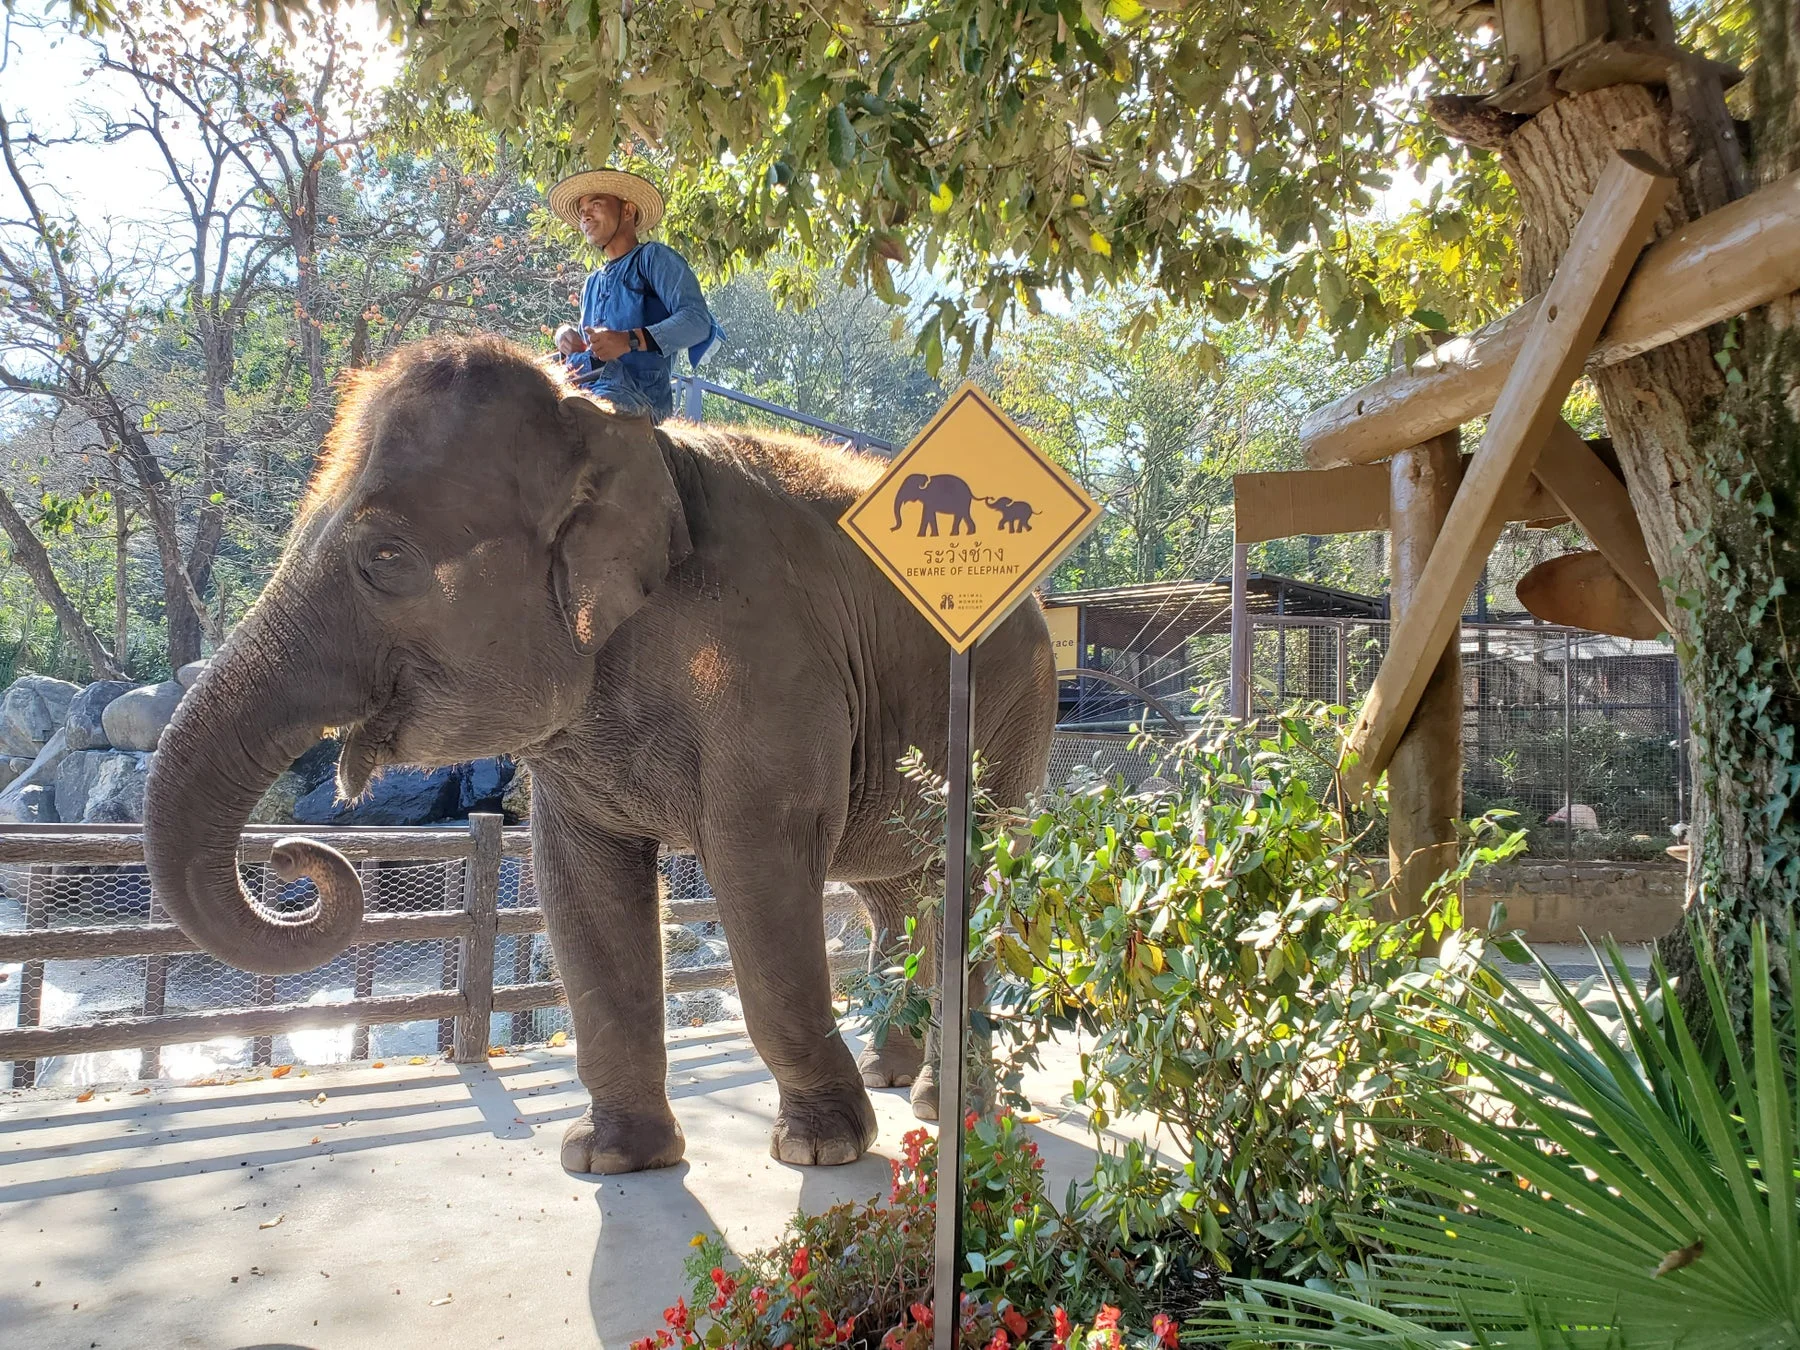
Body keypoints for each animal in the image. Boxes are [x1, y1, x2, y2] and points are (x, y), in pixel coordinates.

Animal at [142, 336, 1056, 1177]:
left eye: (385, 560)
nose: (294, 856)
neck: (621, 440)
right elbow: (578, 879)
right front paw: (610, 1159)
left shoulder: (770, 665)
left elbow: (761, 859)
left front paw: (821, 1150)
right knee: (892, 889)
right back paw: (894, 1074)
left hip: (1016, 713)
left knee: (965, 882)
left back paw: (950, 1107)